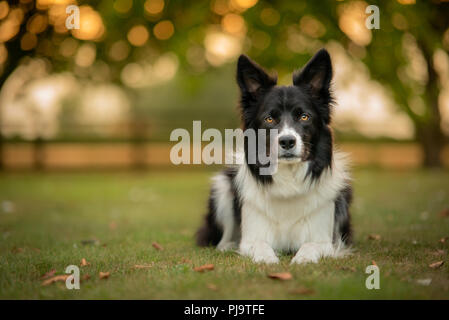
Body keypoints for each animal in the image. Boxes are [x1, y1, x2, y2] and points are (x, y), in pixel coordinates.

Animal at [195, 48, 350, 264]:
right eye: (269, 119)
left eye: (304, 117)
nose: (287, 141)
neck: (289, 181)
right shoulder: (252, 236)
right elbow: (260, 246)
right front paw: (268, 260)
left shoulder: (323, 240)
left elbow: (310, 246)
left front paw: (302, 259)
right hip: (222, 187)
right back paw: (227, 246)